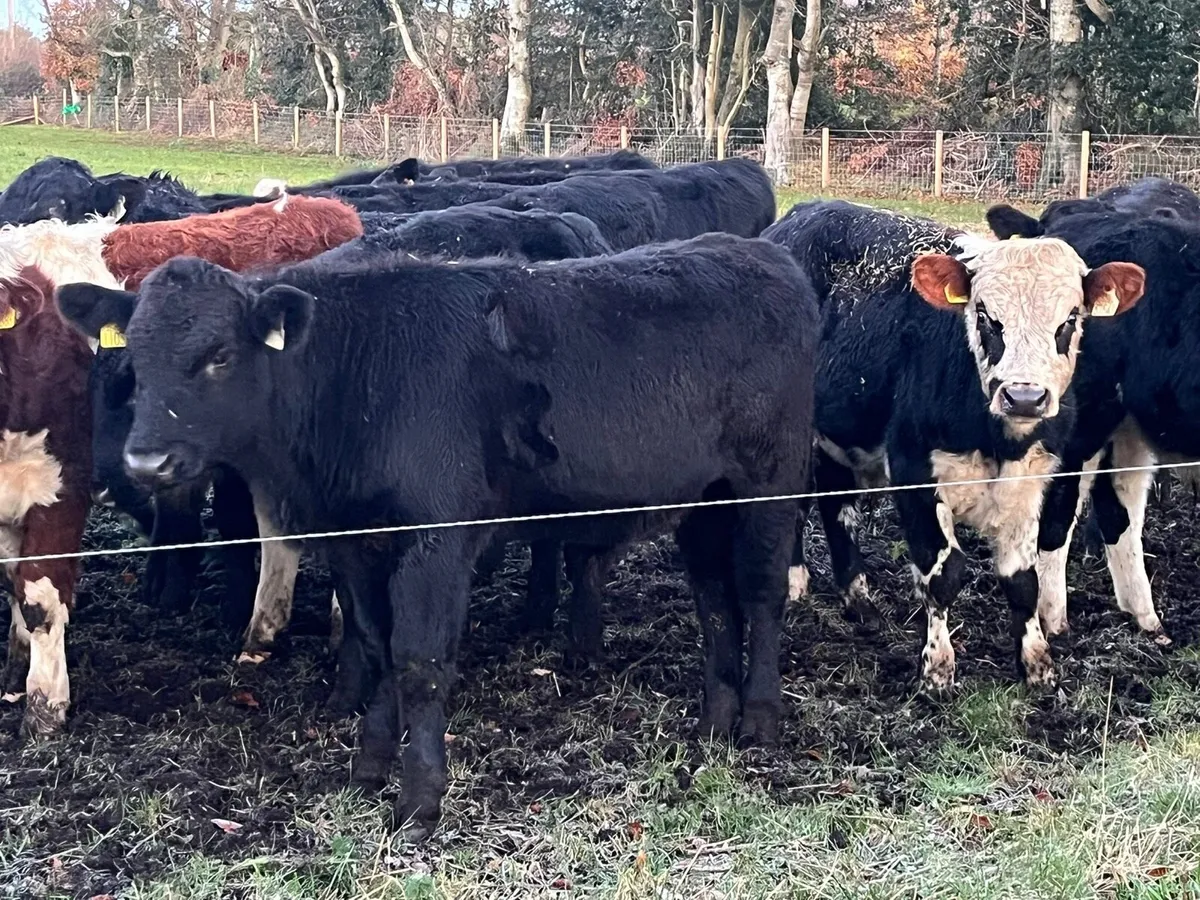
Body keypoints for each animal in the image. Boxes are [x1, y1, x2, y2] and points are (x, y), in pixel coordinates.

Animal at [58, 231, 819, 838]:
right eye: (134, 362)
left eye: (218, 355)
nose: (146, 461)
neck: (358, 376)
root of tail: (763, 254)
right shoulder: (356, 540)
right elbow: (375, 642)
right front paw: (369, 766)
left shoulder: (437, 538)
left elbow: (420, 660)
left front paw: (420, 800)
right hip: (705, 499)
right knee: (712, 595)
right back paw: (714, 720)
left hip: (771, 483)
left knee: (759, 593)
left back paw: (759, 720)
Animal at [764, 200, 1146, 689]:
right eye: (984, 315)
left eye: (1070, 320)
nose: (1024, 395)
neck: (998, 440)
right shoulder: (914, 473)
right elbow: (942, 575)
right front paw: (937, 669)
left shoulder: (1033, 479)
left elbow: (1023, 581)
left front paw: (1037, 663)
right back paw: (794, 580)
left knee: (837, 507)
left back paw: (859, 601)